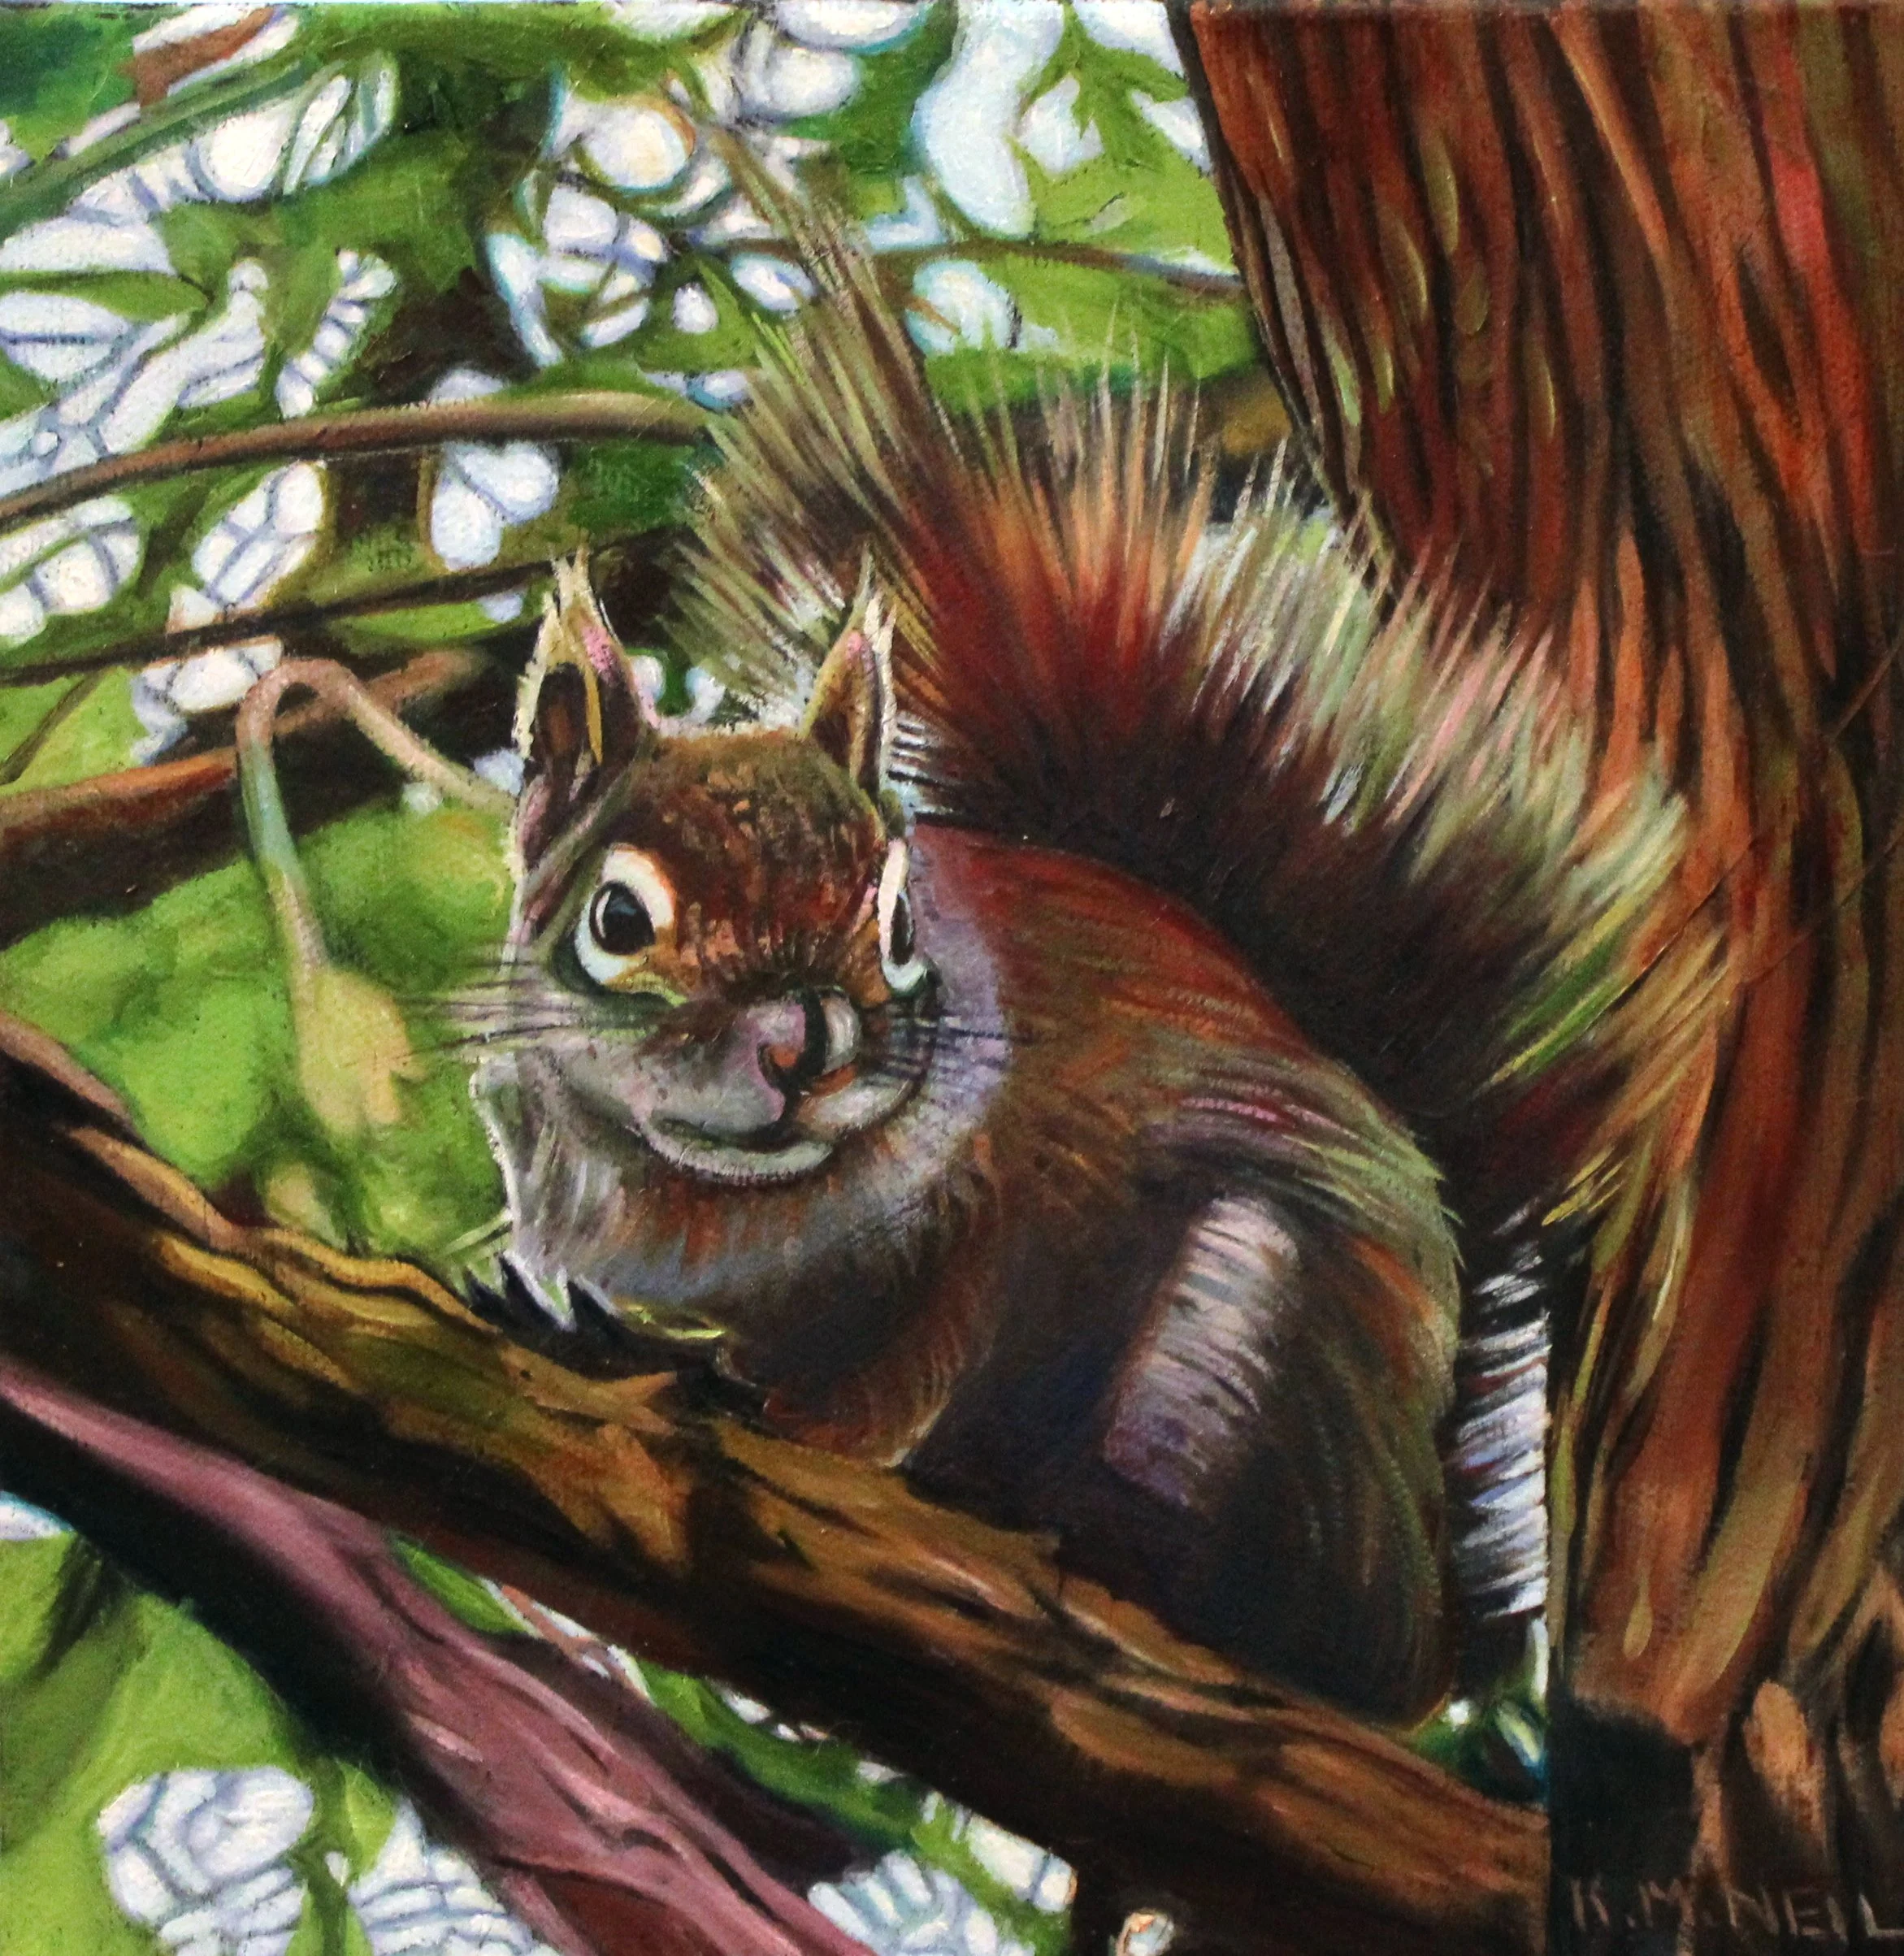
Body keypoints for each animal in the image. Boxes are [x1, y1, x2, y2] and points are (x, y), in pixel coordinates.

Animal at [468, 243, 1712, 1720]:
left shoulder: (996, 1215)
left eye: (896, 916)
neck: (720, 1193)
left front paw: (753, 1404)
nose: (804, 1041)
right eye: (617, 915)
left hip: (1244, 1339)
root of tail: (1420, 1621)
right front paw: (615, 1338)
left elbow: (893, 1380)